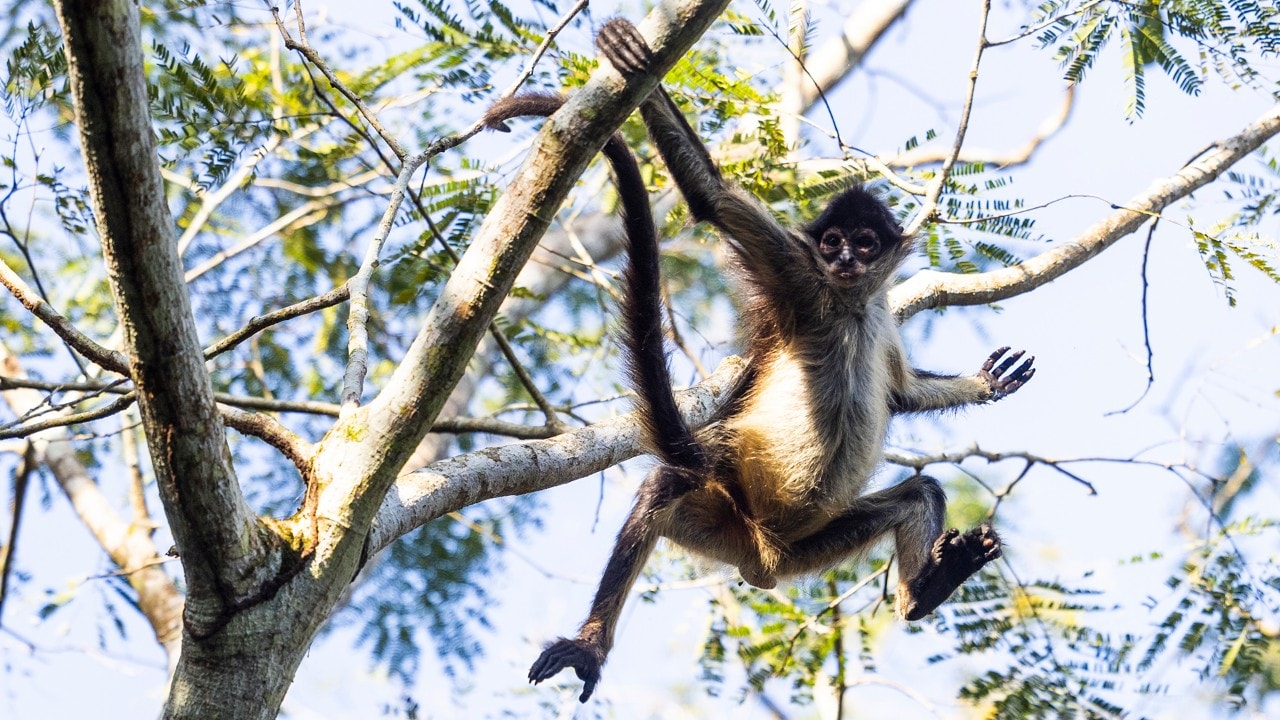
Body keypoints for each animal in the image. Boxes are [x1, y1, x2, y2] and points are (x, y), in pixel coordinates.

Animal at [483, 18, 1034, 702]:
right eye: (832, 242)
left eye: (865, 244)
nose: (843, 260)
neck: (848, 307)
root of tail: (763, 557)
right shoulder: (796, 275)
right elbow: (712, 198)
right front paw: (636, 65)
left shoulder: (878, 314)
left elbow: (902, 396)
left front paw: (985, 383)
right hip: (719, 516)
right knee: (667, 482)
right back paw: (591, 643)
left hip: (813, 544)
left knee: (920, 491)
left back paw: (921, 595)